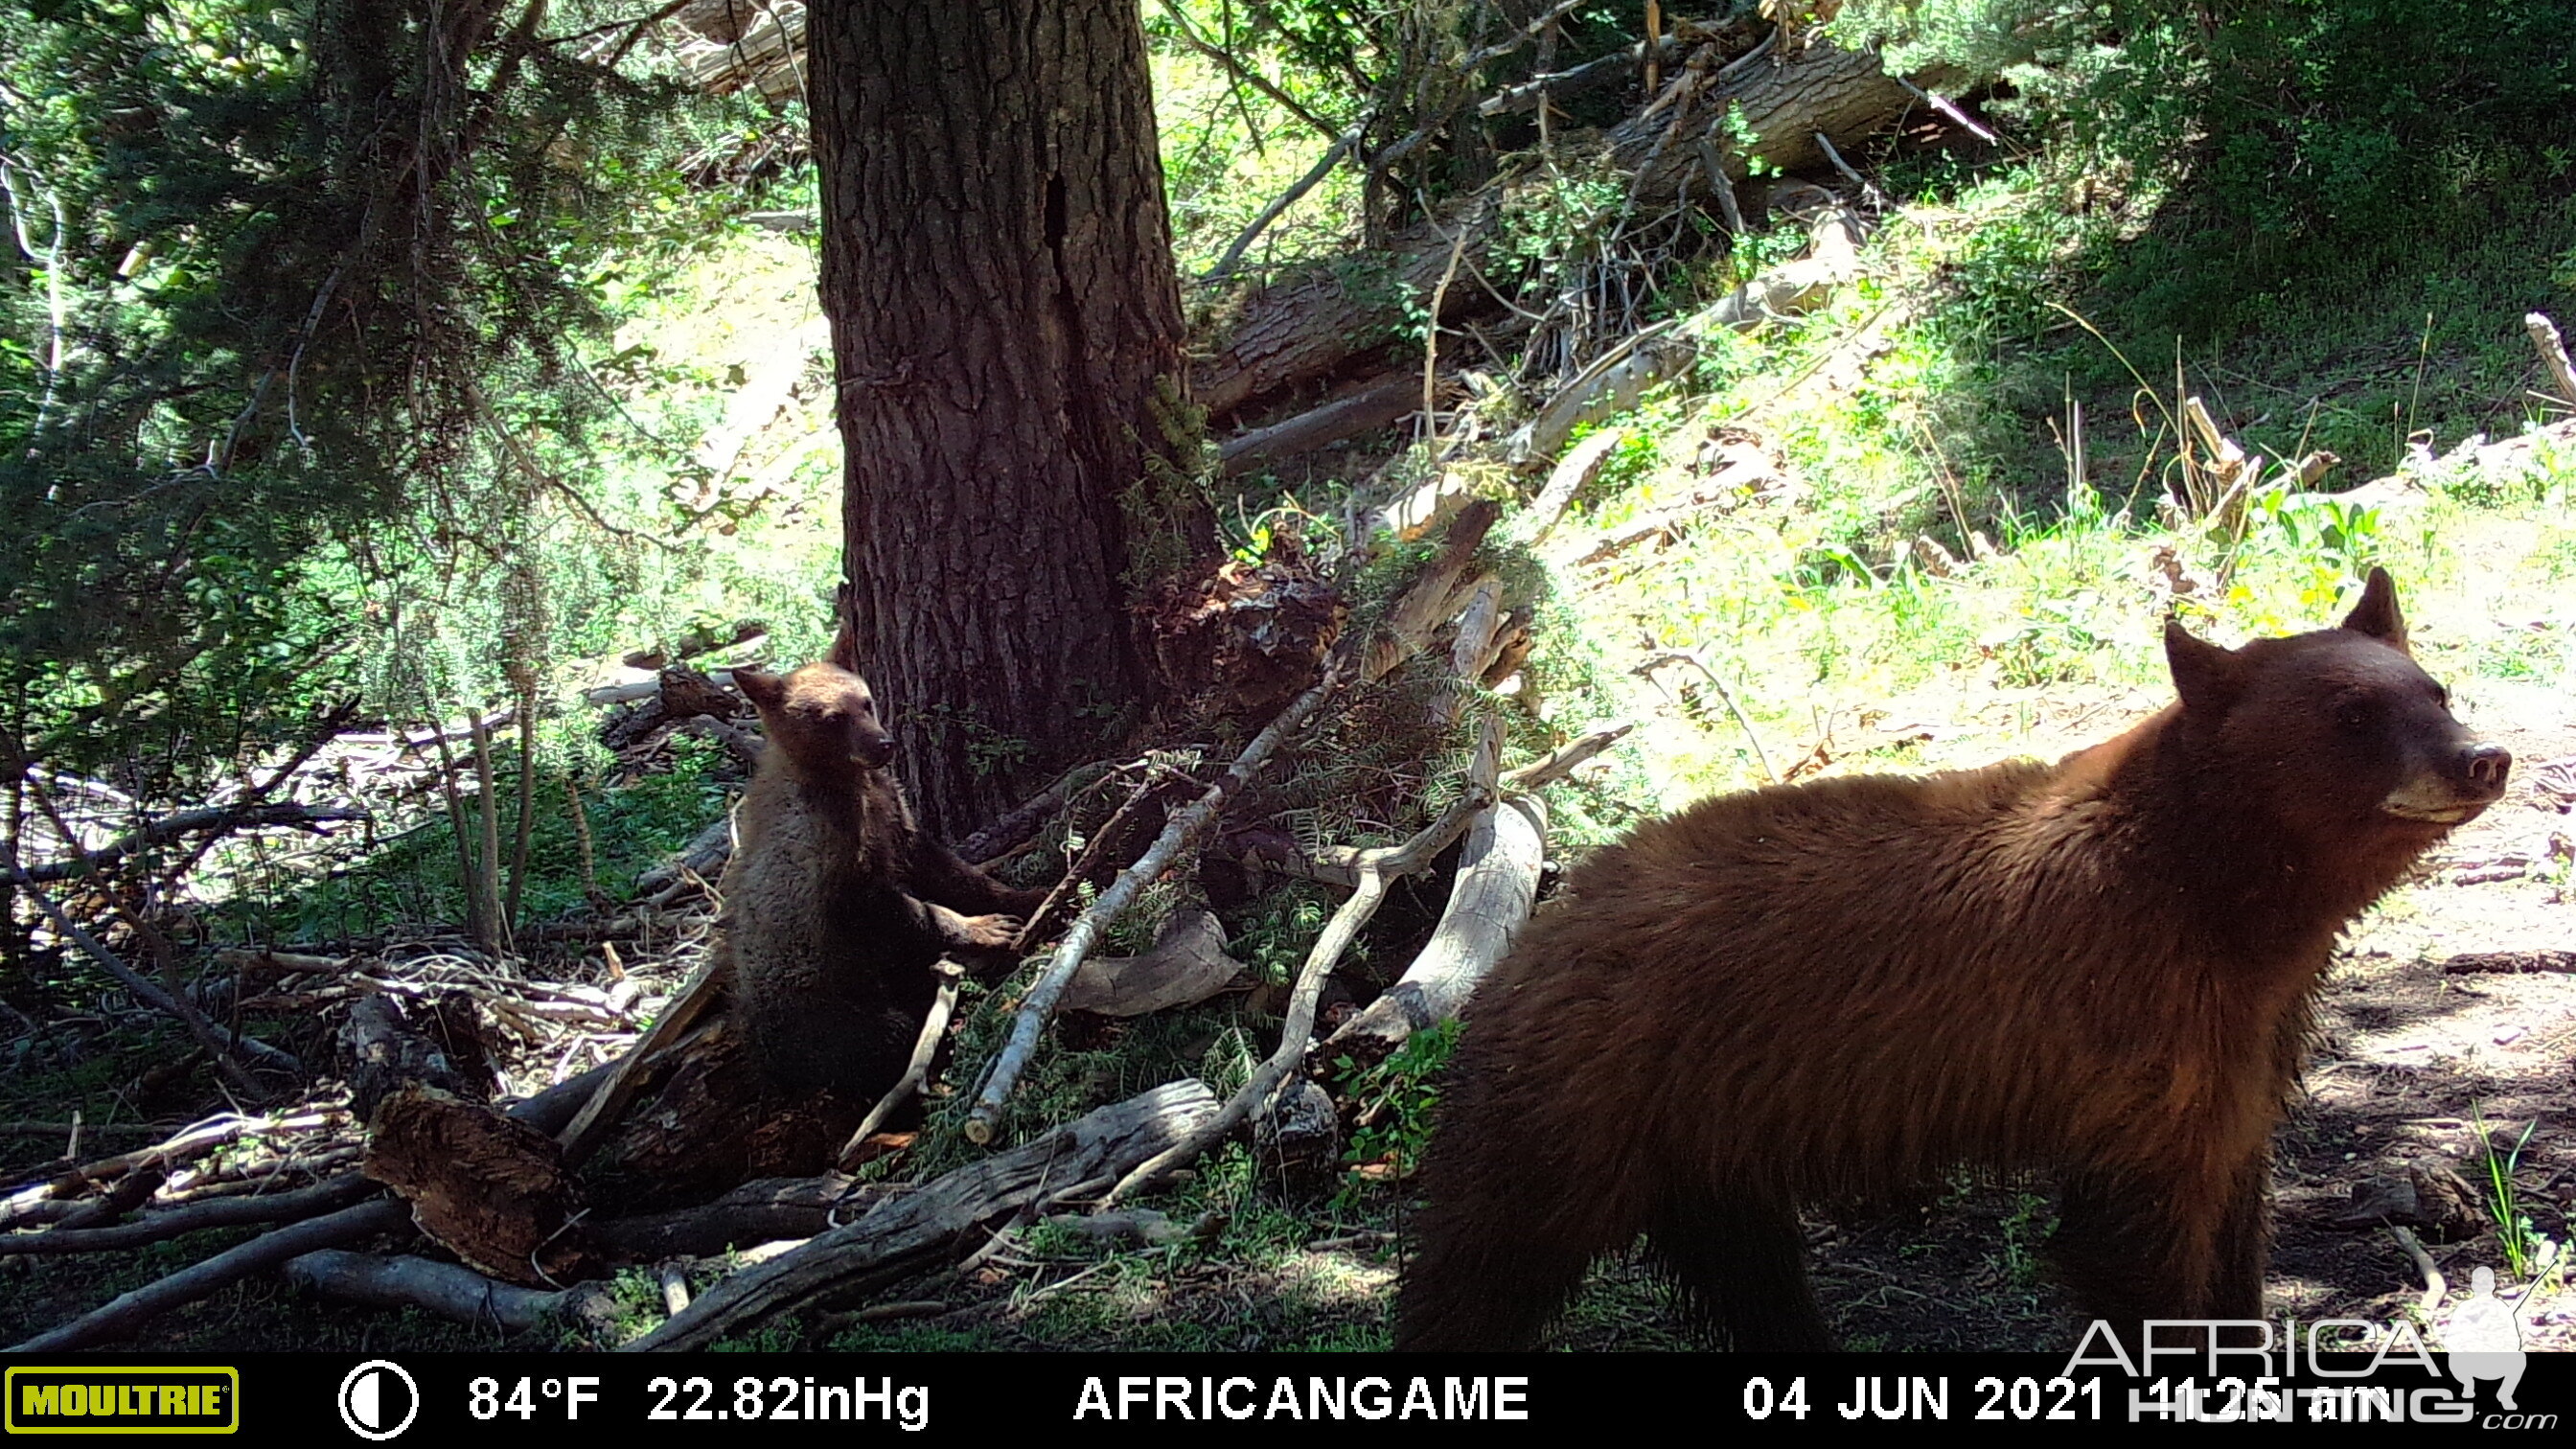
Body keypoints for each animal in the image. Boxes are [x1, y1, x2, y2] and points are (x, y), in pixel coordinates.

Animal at [716, 613, 1046, 1098]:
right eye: (831, 719)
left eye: (866, 701)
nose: (884, 744)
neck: (846, 784)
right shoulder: (834, 864)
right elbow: (903, 907)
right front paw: (983, 929)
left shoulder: (894, 814)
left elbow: (950, 868)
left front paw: (1021, 896)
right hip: (828, 1011)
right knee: (876, 1040)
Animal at [1401, 569, 2503, 1350]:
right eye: (2352, 715)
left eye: (2437, 688)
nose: (2480, 757)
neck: (2217, 896)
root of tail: (1532, 933)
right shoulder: (2133, 1021)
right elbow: (2133, 1237)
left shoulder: (2247, 1039)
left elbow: (2233, 1203)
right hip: (1575, 1108)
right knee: (1484, 1264)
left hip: (1710, 1137)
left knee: (1751, 1276)